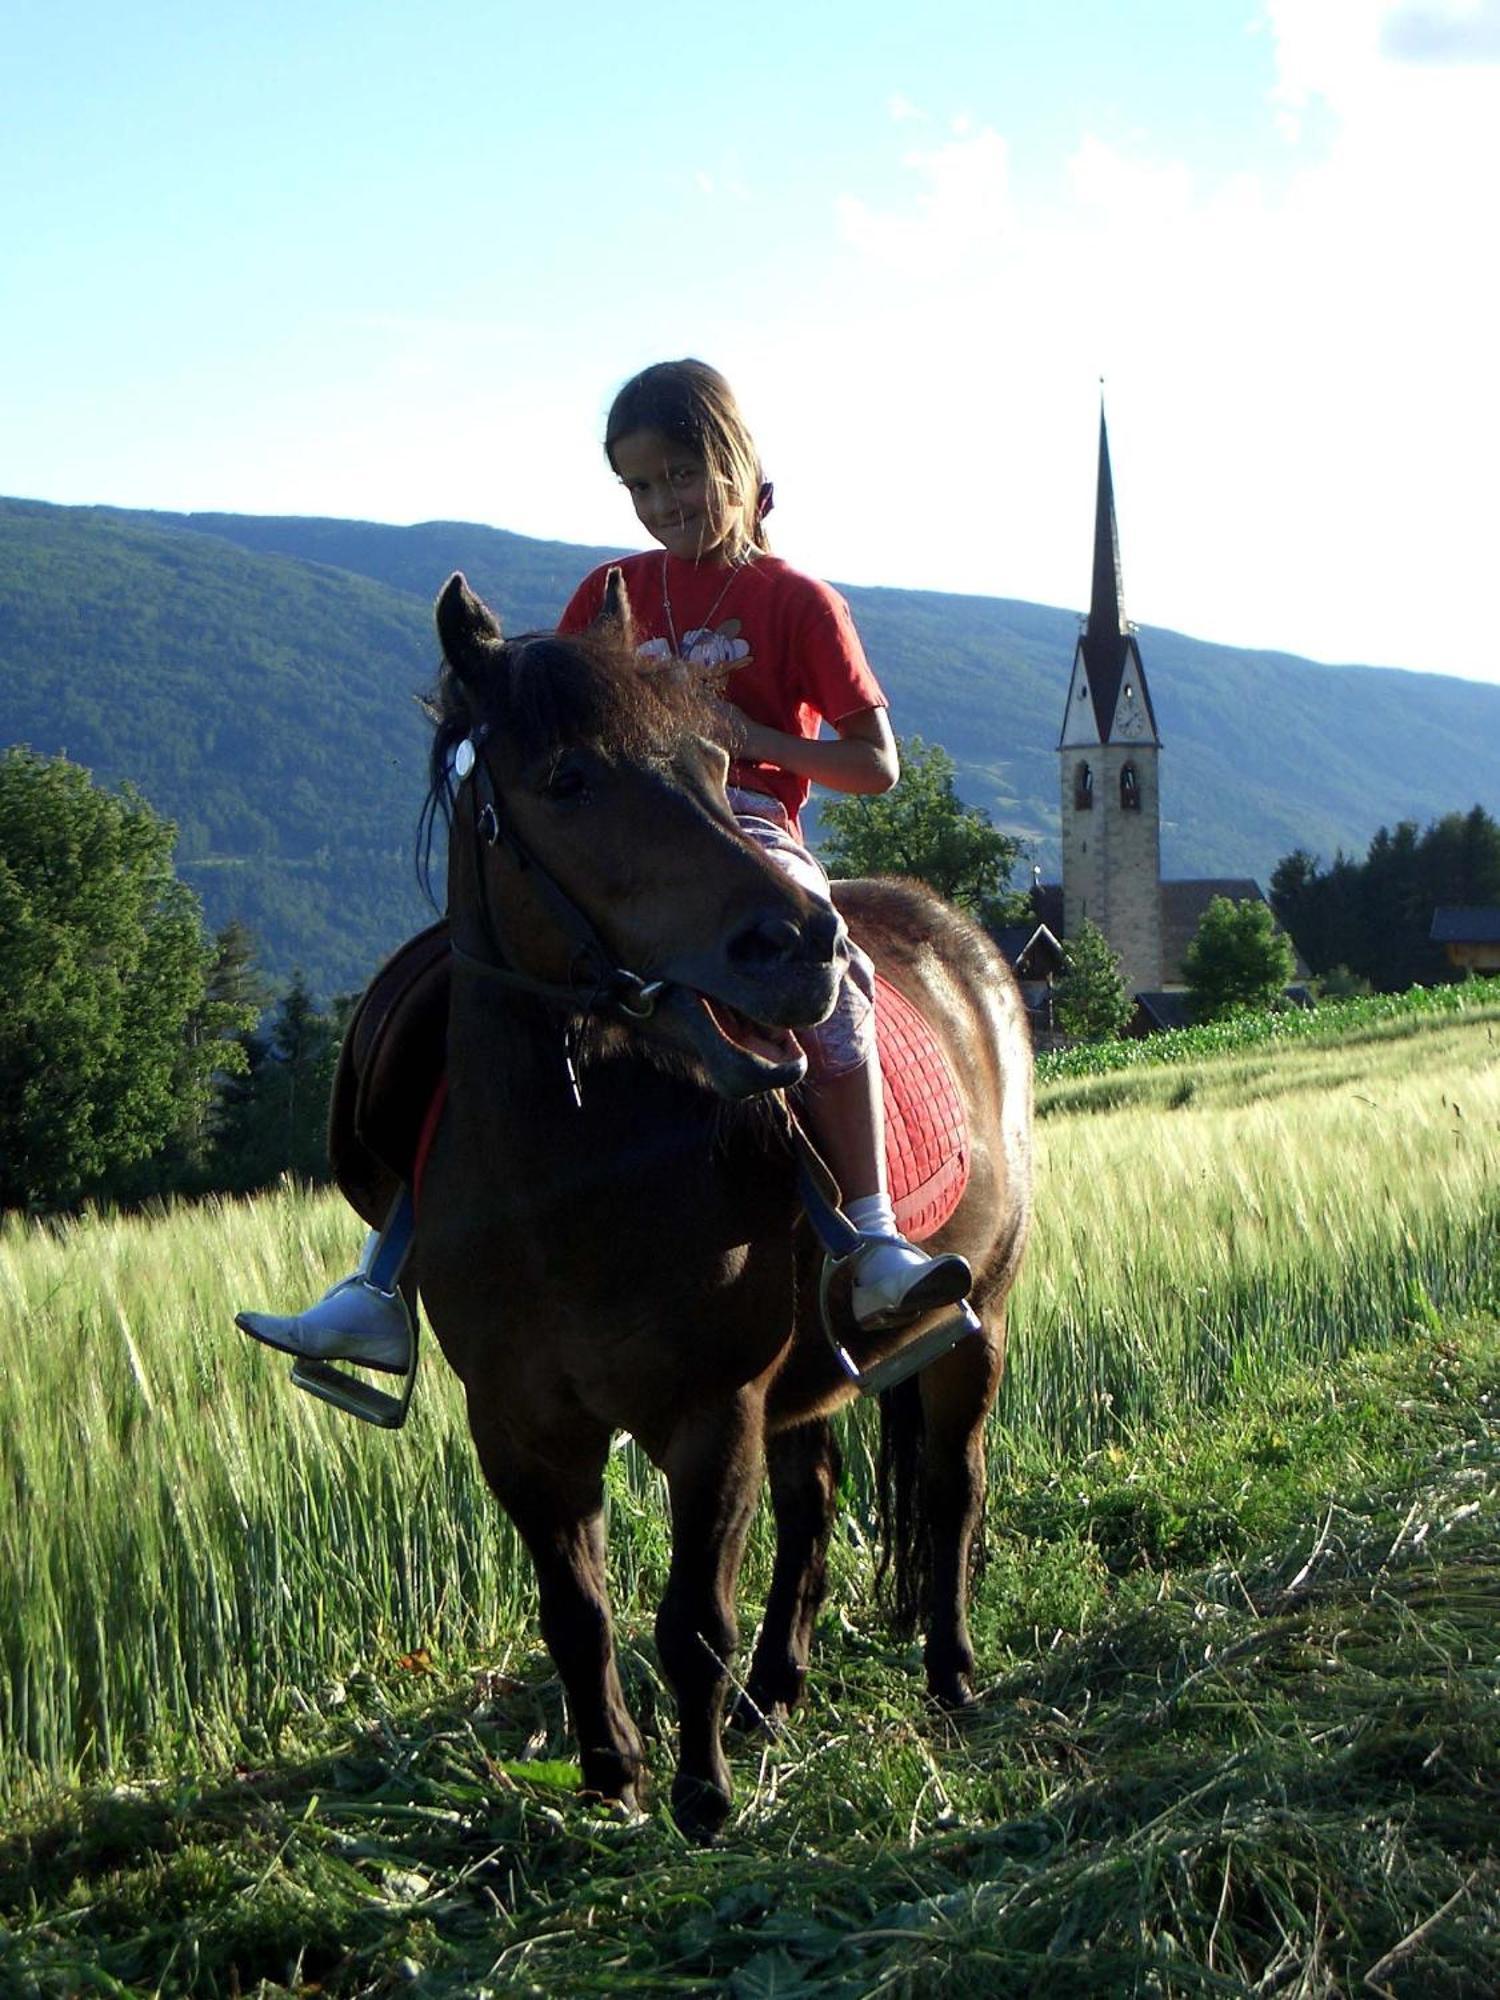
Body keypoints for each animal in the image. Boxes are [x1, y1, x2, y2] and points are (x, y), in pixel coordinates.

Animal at [346, 572, 1040, 1832]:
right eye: (568, 777)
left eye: (720, 761)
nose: (804, 943)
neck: (560, 1185)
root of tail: (965, 939)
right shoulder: (518, 1427)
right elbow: (577, 1613)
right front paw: (611, 1772)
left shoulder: (712, 1413)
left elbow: (690, 1618)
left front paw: (703, 1796)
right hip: (808, 1382)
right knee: (813, 1508)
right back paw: (777, 1690)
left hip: (979, 1322)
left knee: (951, 1486)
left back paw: (950, 1669)